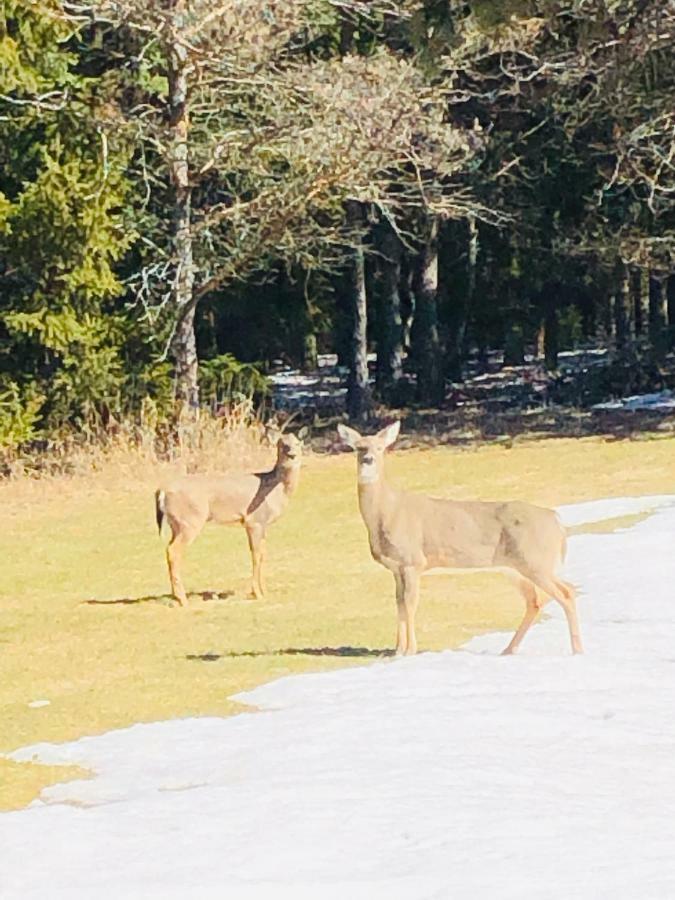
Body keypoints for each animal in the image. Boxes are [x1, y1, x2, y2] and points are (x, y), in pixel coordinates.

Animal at [154, 428, 304, 604]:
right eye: (282, 445)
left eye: (297, 443)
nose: (292, 455)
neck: (276, 490)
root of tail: (163, 490)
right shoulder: (253, 520)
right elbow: (256, 555)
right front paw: (257, 593)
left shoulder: (263, 525)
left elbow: (263, 554)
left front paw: (265, 591)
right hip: (191, 521)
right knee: (173, 550)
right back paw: (183, 600)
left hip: (176, 524)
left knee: (169, 549)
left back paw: (176, 596)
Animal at [338, 422, 580, 652]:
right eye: (358, 447)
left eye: (381, 448)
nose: (368, 460)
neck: (387, 512)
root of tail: (556, 520)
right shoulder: (396, 568)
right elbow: (398, 604)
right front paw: (397, 650)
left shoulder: (413, 560)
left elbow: (410, 604)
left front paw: (410, 650)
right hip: (514, 568)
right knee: (536, 600)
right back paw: (508, 650)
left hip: (535, 561)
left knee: (566, 592)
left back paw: (577, 649)